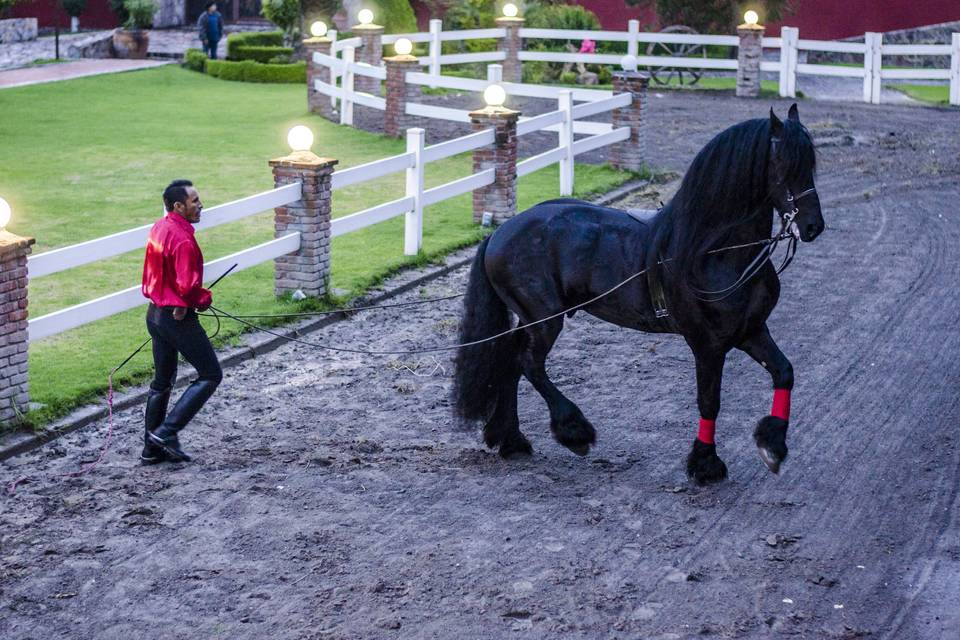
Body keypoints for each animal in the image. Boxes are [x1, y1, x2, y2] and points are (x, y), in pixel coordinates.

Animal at [454, 106, 820, 484]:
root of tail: (499, 232)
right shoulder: (707, 343)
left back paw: (511, 440)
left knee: (512, 361)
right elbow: (709, 401)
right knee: (529, 363)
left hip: (532, 320)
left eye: (811, 162)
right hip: (544, 319)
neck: (716, 252)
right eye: (782, 163)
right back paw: (574, 430)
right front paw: (705, 463)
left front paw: (772, 444)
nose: (812, 226)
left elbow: (784, 372)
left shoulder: (750, 330)